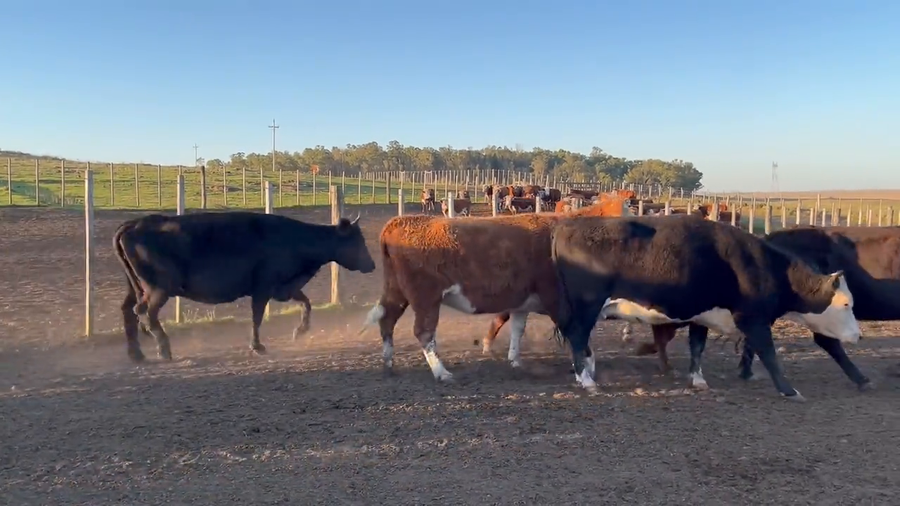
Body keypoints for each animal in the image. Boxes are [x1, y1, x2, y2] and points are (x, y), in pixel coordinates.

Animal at [113, 211, 376, 362]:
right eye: (357, 241)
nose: (372, 265)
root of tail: (134, 224)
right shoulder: (262, 288)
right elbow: (257, 317)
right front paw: (257, 346)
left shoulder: (284, 287)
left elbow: (306, 304)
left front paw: (300, 331)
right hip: (159, 289)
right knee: (144, 312)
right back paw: (163, 348)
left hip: (136, 288)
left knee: (128, 311)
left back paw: (136, 354)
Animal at [358, 196, 634, 381]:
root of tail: (399, 222)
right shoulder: (558, 300)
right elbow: (577, 334)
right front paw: (586, 372)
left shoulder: (524, 301)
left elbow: (517, 329)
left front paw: (515, 360)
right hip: (426, 298)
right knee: (424, 332)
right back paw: (441, 372)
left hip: (396, 292)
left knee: (387, 320)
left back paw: (388, 362)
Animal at [550, 214, 860, 400]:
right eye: (847, 303)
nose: (858, 335)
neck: (765, 266)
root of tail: (568, 226)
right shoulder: (753, 319)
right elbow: (770, 355)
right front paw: (789, 390)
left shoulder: (703, 316)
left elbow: (697, 347)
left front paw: (698, 380)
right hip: (588, 305)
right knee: (577, 337)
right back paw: (586, 381)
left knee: (581, 341)